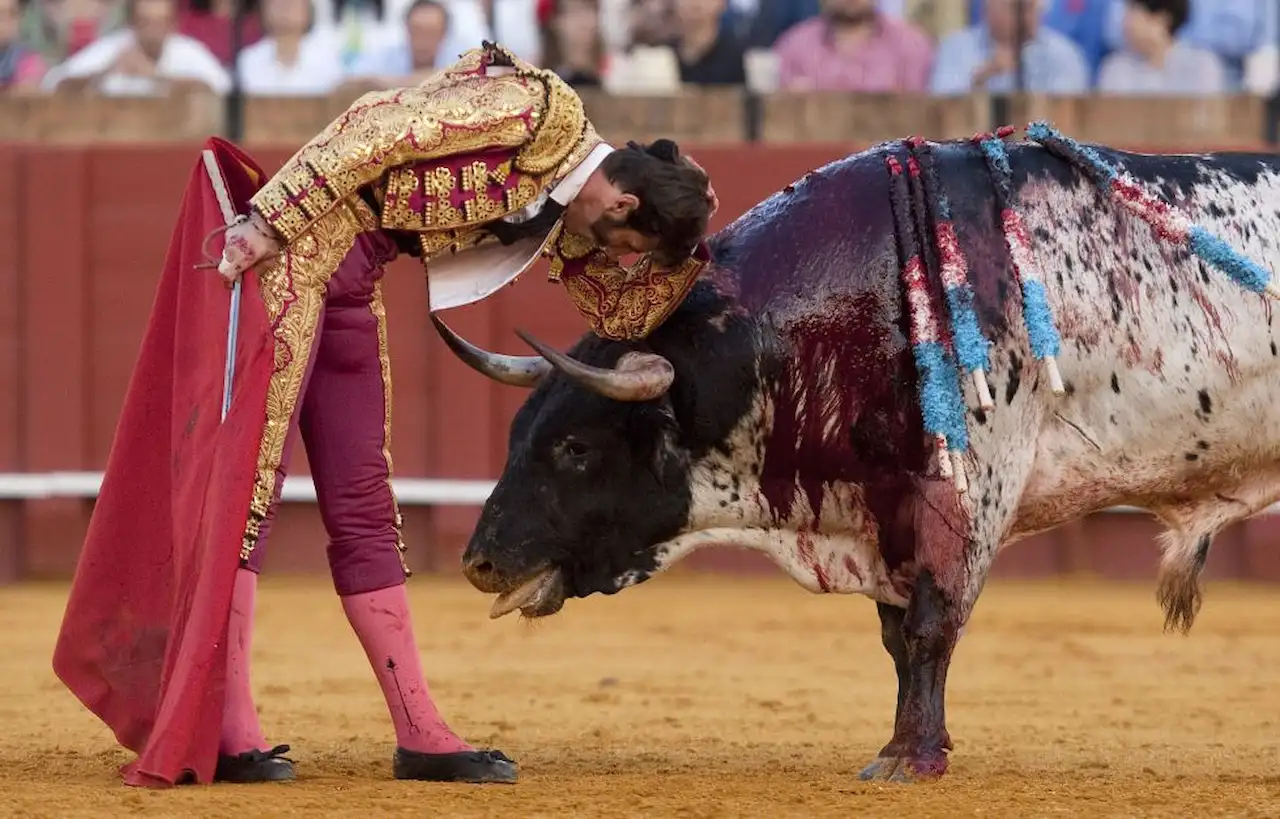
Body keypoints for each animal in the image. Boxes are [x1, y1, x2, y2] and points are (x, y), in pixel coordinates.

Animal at [430, 126, 1280, 778]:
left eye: (575, 447)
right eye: (520, 433)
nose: (479, 561)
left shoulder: (967, 490)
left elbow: (932, 625)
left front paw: (914, 759)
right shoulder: (882, 506)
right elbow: (896, 638)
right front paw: (906, 744)